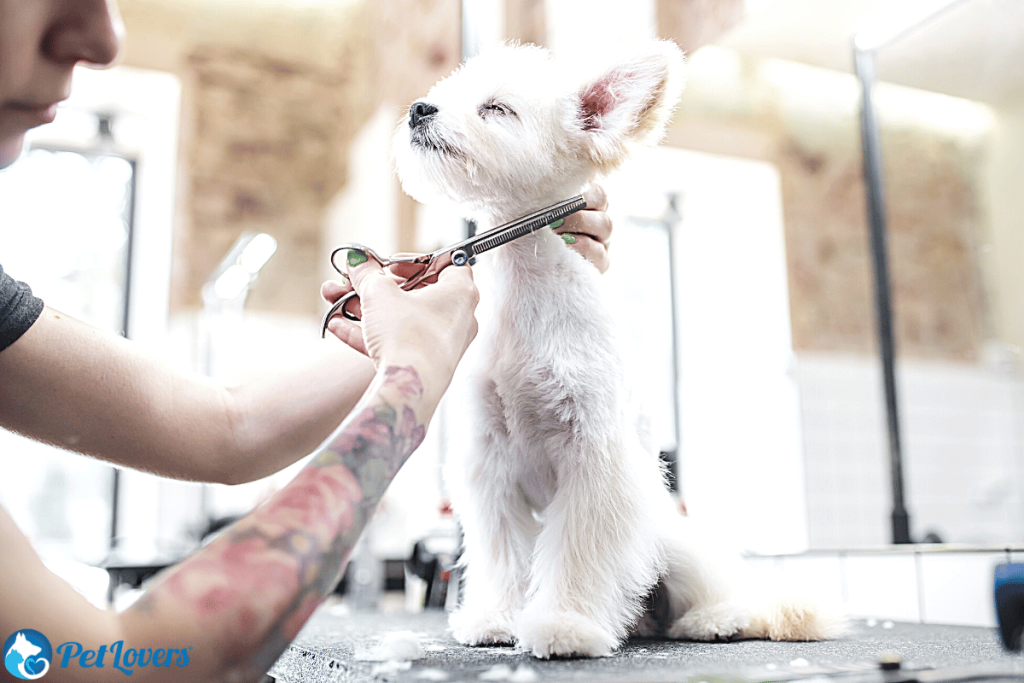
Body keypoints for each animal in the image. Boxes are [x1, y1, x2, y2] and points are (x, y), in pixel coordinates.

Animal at [389, 40, 839, 659]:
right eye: (445, 92)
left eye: (496, 108)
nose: (418, 110)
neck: (524, 295)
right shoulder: (490, 463)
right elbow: (502, 554)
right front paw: (495, 618)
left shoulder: (595, 458)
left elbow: (578, 552)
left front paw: (565, 625)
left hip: (671, 538)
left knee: (718, 593)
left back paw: (713, 619)